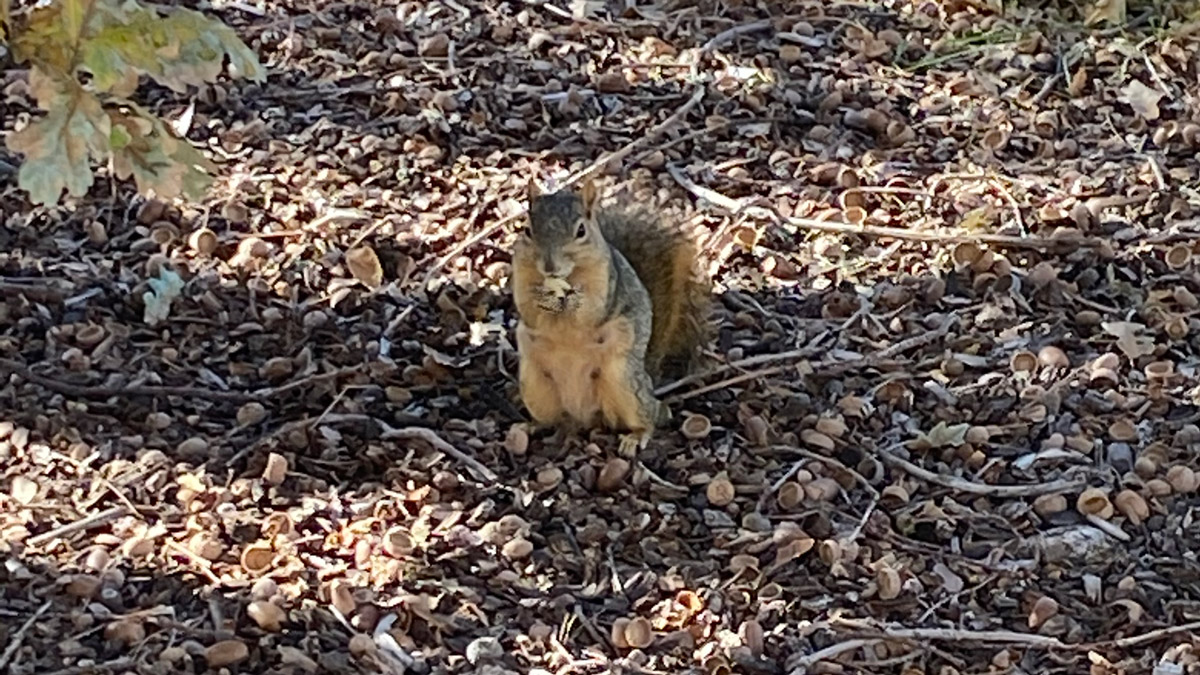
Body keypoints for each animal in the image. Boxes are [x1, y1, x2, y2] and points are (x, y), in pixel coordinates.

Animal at [510, 178, 710, 457]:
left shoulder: (605, 280)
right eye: (527, 230)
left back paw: (636, 436)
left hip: (623, 381)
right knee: (554, 419)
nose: (550, 267)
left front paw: (575, 299)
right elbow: (526, 306)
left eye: (581, 231)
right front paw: (542, 297)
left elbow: (590, 310)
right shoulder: (520, 271)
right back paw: (530, 426)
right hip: (534, 386)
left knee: (652, 415)